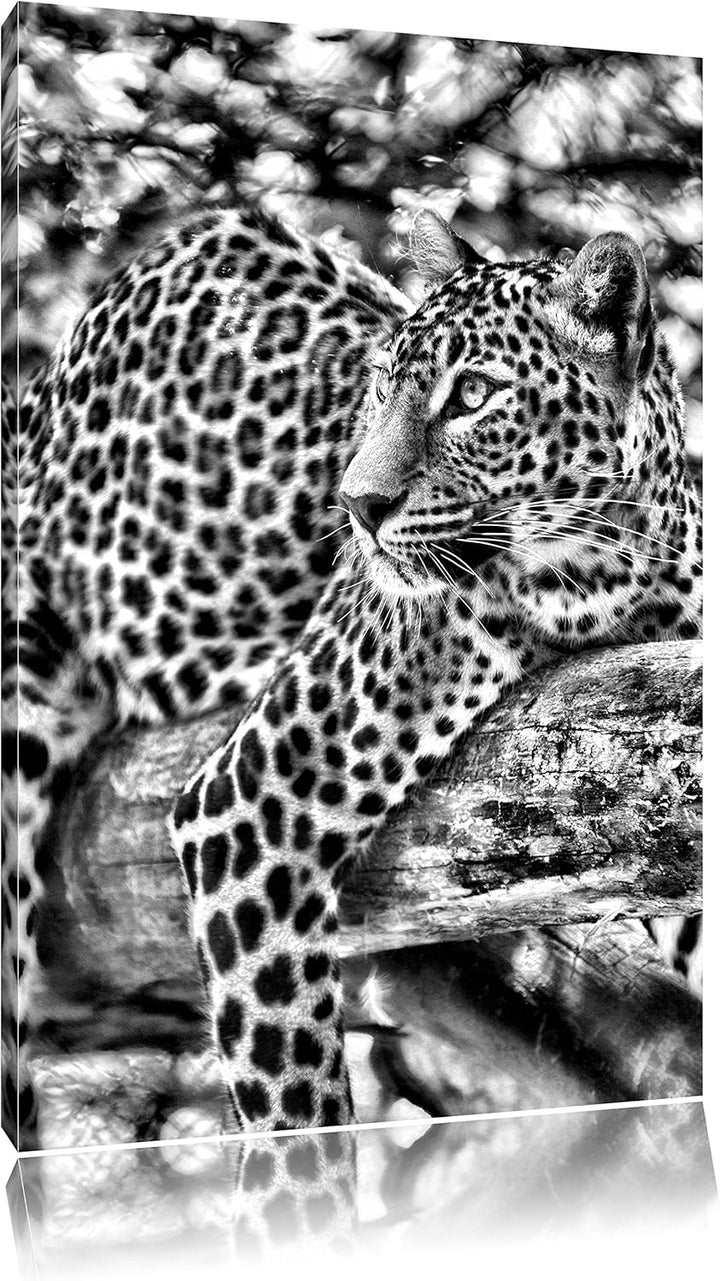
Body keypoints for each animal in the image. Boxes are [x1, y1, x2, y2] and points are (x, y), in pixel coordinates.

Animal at [1, 204, 702, 1173]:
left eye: (473, 394)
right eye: (381, 386)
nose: (358, 505)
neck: (607, 575)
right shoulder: (247, 801)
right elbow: (295, 1113)